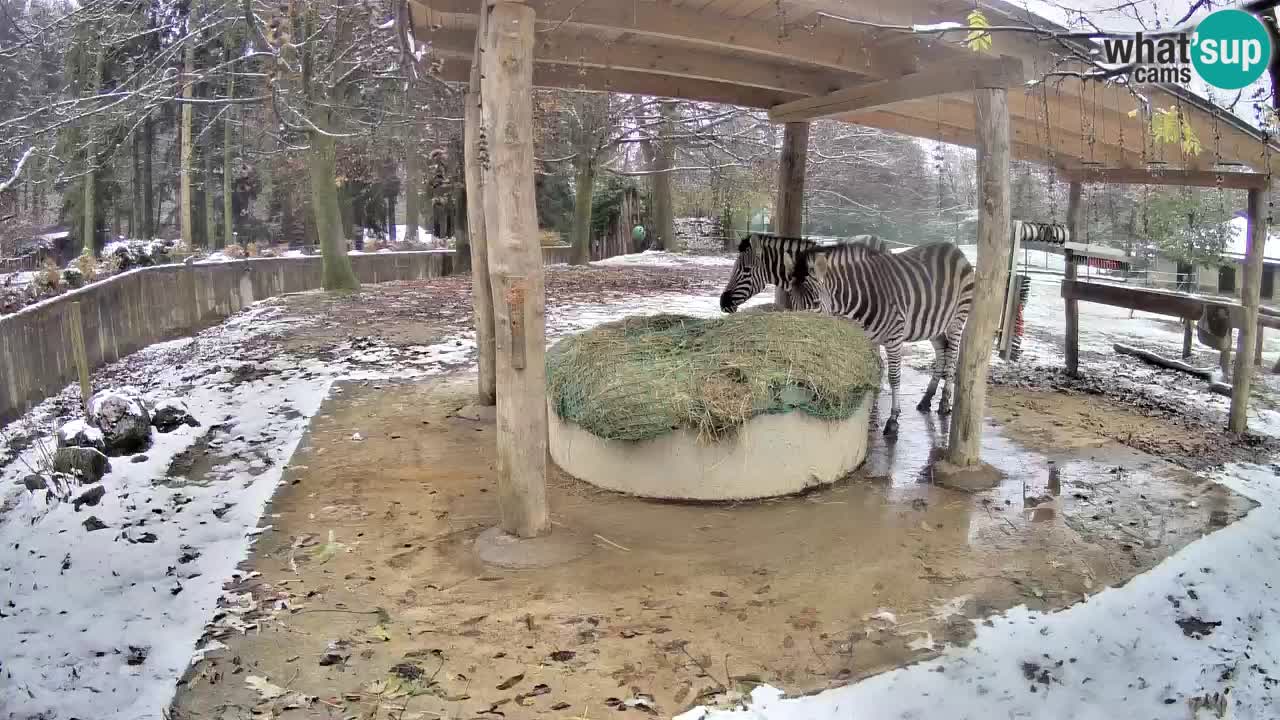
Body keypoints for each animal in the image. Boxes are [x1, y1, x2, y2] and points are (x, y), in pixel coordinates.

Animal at [783, 240, 972, 435]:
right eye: (792, 301)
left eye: (816, 303)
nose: (799, 339)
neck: (860, 297)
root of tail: (952, 247)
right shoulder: (866, 337)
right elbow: (869, 367)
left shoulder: (894, 336)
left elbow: (893, 377)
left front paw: (893, 419)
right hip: (934, 323)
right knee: (942, 350)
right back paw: (926, 400)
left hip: (958, 318)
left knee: (952, 355)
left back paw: (944, 403)